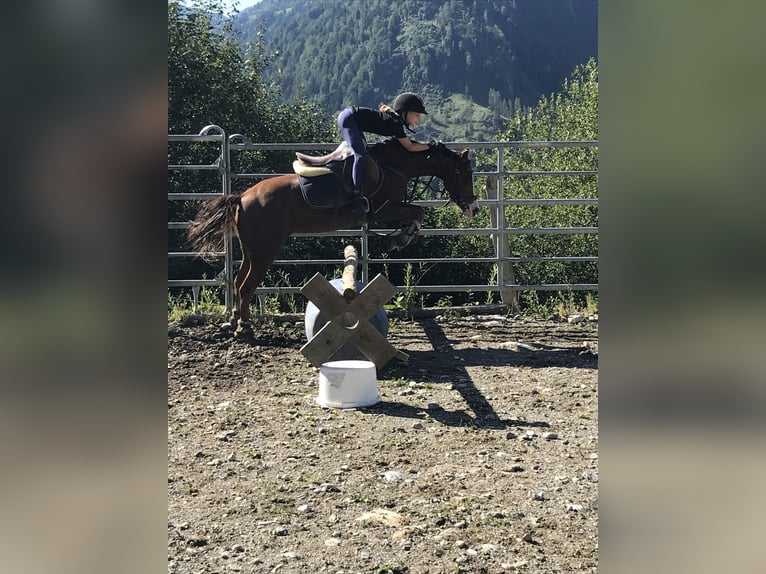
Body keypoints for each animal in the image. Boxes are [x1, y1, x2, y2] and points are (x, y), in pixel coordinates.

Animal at [188, 140, 476, 338]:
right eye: (465, 174)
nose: (473, 207)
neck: (393, 165)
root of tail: (241, 198)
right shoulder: (383, 209)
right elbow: (418, 211)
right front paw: (403, 237)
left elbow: (417, 211)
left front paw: (403, 235)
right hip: (264, 252)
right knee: (246, 286)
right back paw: (245, 328)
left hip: (251, 251)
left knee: (238, 283)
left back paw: (235, 321)